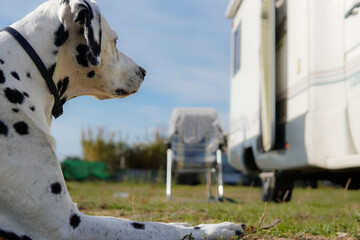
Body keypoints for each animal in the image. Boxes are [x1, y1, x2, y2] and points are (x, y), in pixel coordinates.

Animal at [0, 0, 245, 239]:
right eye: (116, 41)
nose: (143, 71)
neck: (29, 69)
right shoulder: (65, 225)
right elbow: (150, 227)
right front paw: (212, 228)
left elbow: (127, 220)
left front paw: (184, 222)